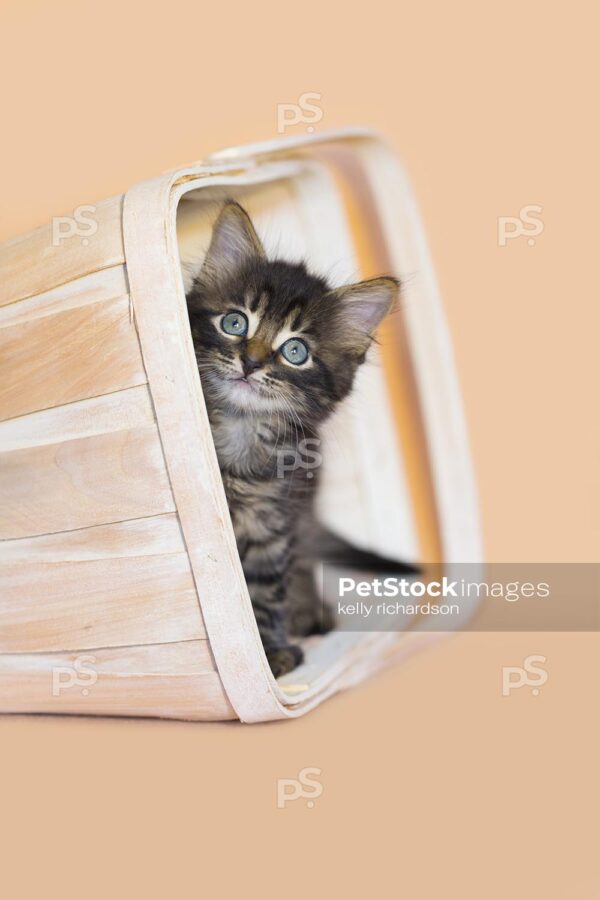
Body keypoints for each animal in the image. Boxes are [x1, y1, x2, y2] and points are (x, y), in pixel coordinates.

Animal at [185, 204, 396, 680]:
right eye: (234, 322)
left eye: (295, 351)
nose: (250, 362)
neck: (241, 430)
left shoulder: (273, 519)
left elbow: (265, 592)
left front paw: (271, 650)